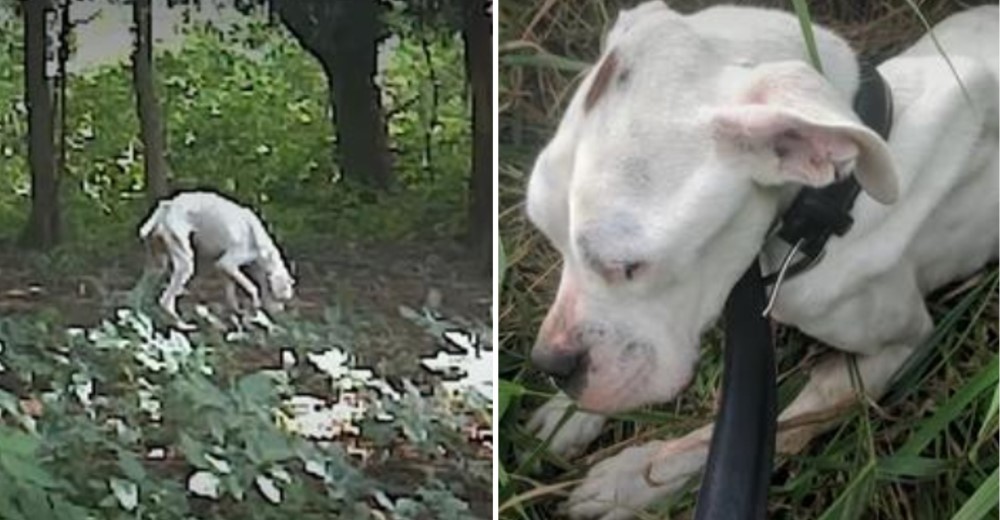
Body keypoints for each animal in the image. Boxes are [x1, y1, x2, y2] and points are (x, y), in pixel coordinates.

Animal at [141, 191, 296, 330]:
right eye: (281, 298)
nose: (281, 312)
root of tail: (167, 205)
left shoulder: (224, 269)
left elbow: (231, 294)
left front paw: (238, 313)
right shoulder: (227, 263)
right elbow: (252, 287)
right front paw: (254, 304)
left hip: (157, 264)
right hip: (185, 263)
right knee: (165, 301)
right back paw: (183, 325)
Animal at [528, 3, 996, 516]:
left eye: (629, 266)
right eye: (548, 236)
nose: (552, 366)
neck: (834, 202)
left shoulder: (901, 347)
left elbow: (770, 425)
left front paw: (634, 480)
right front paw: (567, 415)